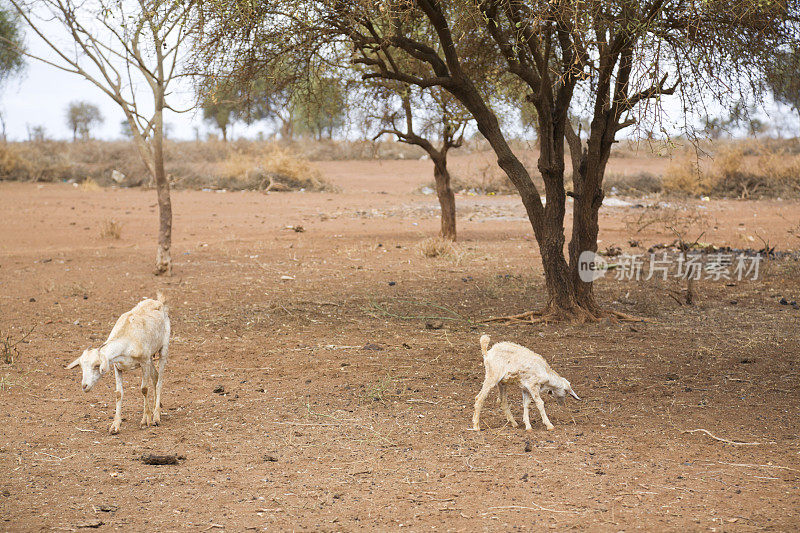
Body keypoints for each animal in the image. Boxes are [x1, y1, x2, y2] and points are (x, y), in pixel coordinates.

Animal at [67, 290, 170, 432]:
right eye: (82, 366)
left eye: (97, 365)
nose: (84, 386)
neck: (127, 340)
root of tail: (159, 302)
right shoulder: (118, 366)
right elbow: (118, 393)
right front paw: (115, 425)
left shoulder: (144, 362)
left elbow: (144, 389)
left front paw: (146, 420)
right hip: (150, 358)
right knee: (155, 376)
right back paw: (157, 407)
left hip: (163, 349)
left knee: (159, 381)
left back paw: (156, 416)